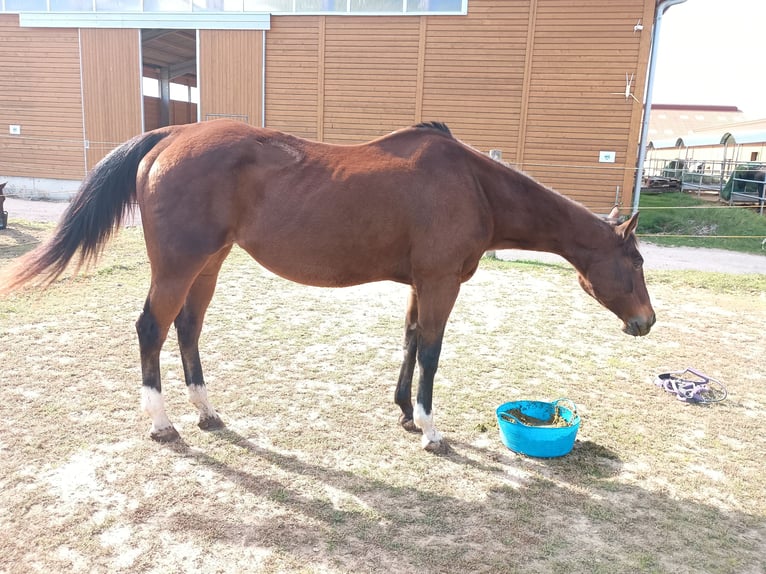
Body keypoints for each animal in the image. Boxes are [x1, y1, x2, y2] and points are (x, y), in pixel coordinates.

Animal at [0, 120, 655, 452]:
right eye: (637, 261)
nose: (647, 321)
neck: (474, 185)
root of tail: (170, 136)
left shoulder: (420, 283)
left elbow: (410, 340)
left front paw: (405, 414)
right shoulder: (441, 282)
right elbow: (432, 353)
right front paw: (430, 429)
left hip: (209, 263)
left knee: (188, 328)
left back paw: (207, 413)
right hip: (179, 266)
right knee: (151, 329)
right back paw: (163, 424)